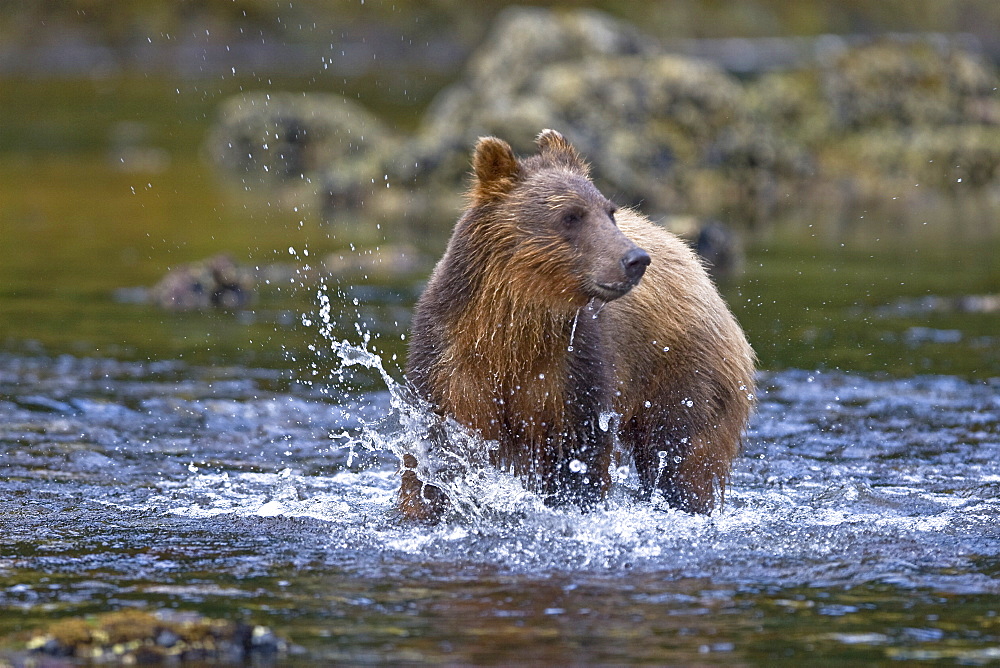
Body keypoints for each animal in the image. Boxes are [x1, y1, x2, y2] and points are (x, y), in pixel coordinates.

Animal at [398, 128, 752, 520]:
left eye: (609, 211)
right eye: (570, 215)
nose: (636, 258)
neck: (512, 331)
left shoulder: (572, 370)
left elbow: (581, 454)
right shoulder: (449, 364)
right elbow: (435, 450)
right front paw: (426, 503)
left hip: (683, 372)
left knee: (681, 455)